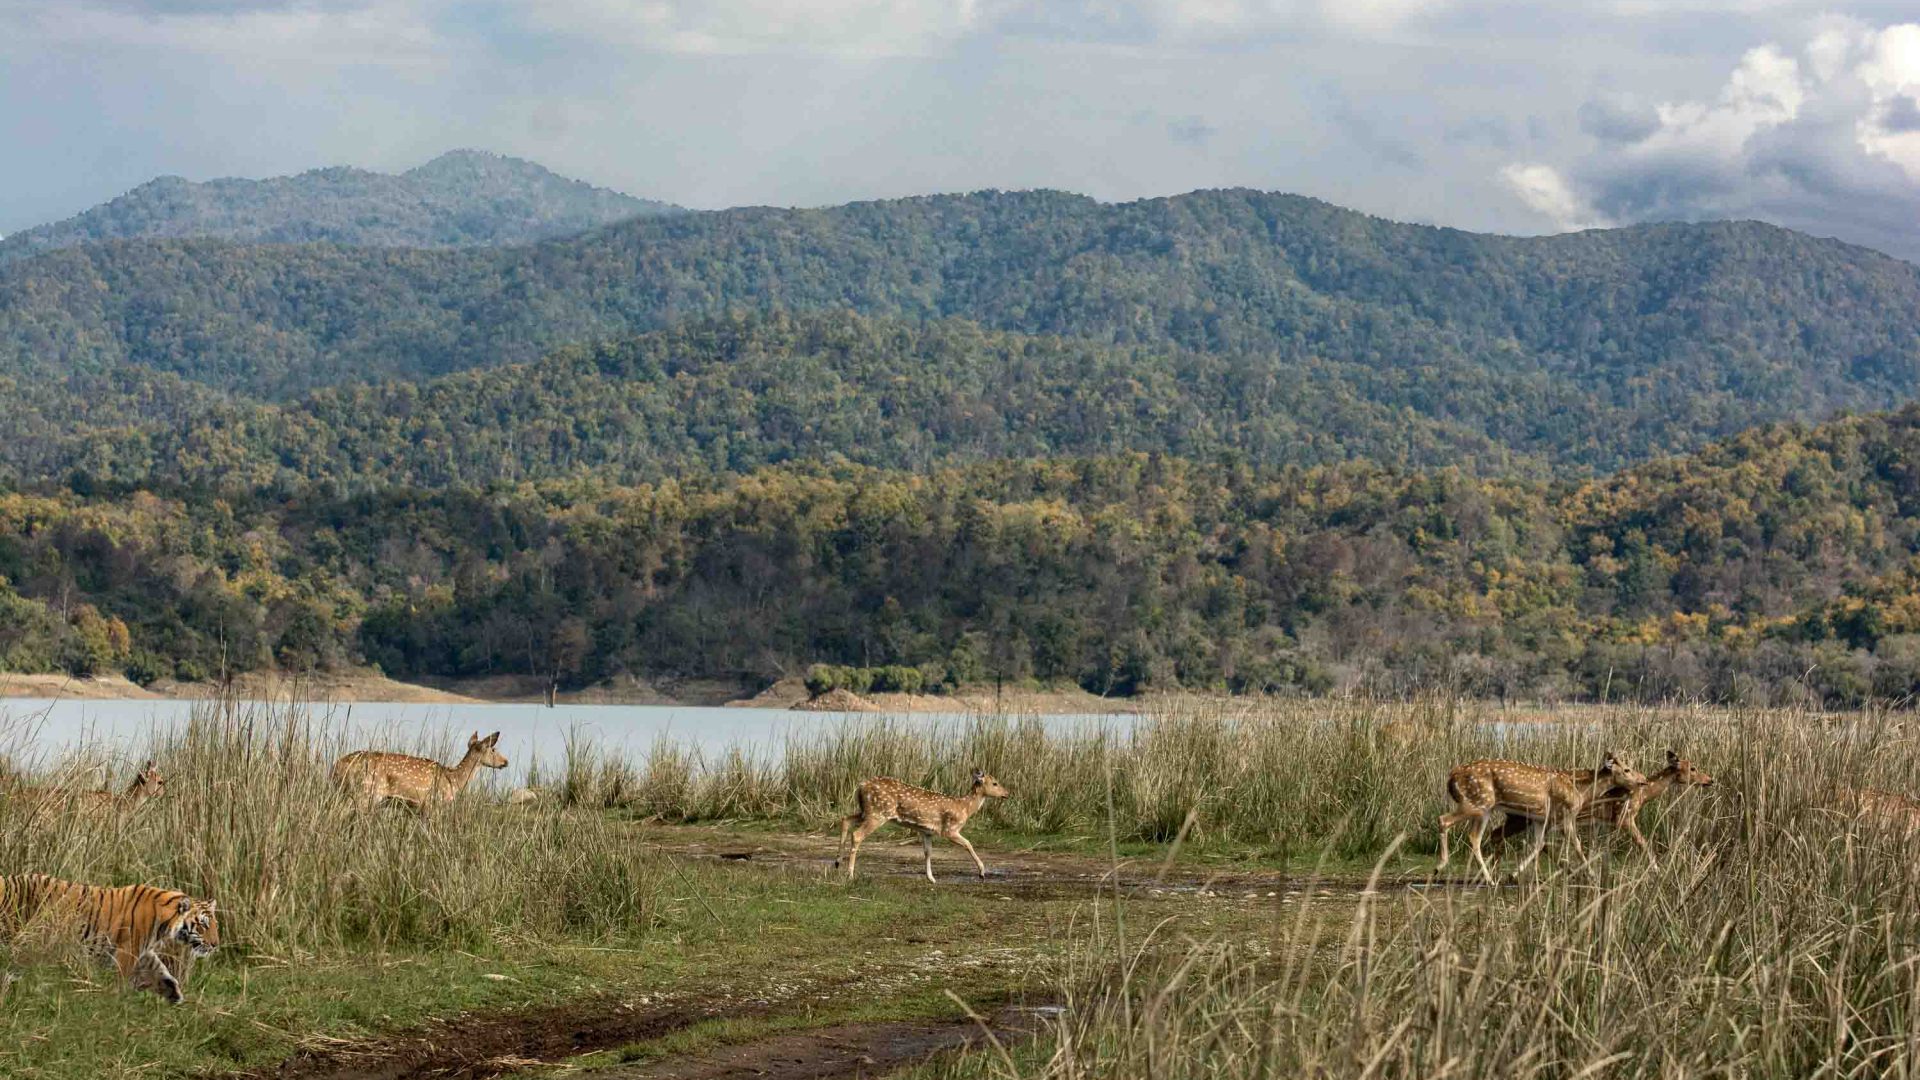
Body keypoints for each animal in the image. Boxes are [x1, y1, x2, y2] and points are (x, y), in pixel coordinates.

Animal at [0, 873, 220, 1003]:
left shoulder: (142, 951)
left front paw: (173, 991)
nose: (215, 945)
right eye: (202, 925)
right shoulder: (128, 950)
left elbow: (158, 968)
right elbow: (123, 978)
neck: (166, 921)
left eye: (215, 925)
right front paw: (117, 1000)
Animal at [331, 731, 508, 812]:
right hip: (366, 792)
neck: (453, 780)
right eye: (493, 749)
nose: (506, 762)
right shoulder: (432, 803)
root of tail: (336, 767)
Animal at [834, 770, 1011, 883]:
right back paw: (850, 874)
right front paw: (982, 872)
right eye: (995, 783)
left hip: (866, 811)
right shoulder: (949, 829)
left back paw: (837, 862)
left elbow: (927, 852)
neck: (965, 808)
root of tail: (860, 786)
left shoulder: (927, 831)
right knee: (856, 835)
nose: (1007, 793)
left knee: (845, 819)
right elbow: (968, 844)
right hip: (878, 813)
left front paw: (931, 878)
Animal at [1437, 751, 1648, 886]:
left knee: (1475, 836)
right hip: (1477, 802)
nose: (1643, 780)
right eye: (1627, 769)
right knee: (1445, 820)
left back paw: (1486, 877)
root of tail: (1451, 776)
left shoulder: (1541, 818)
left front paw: (1513, 874)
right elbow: (1577, 845)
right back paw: (1446, 869)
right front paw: (1592, 876)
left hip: (1484, 808)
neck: (1580, 791)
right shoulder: (1565, 815)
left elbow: (1538, 844)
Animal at [1486, 749, 1714, 867]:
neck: (1643, 795)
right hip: (1524, 818)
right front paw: (1656, 869)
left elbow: (1599, 847)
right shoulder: (1623, 816)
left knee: (1504, 835)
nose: (1710, 780)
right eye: (1693, 768)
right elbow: (1643, 843)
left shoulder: (1601, 823)